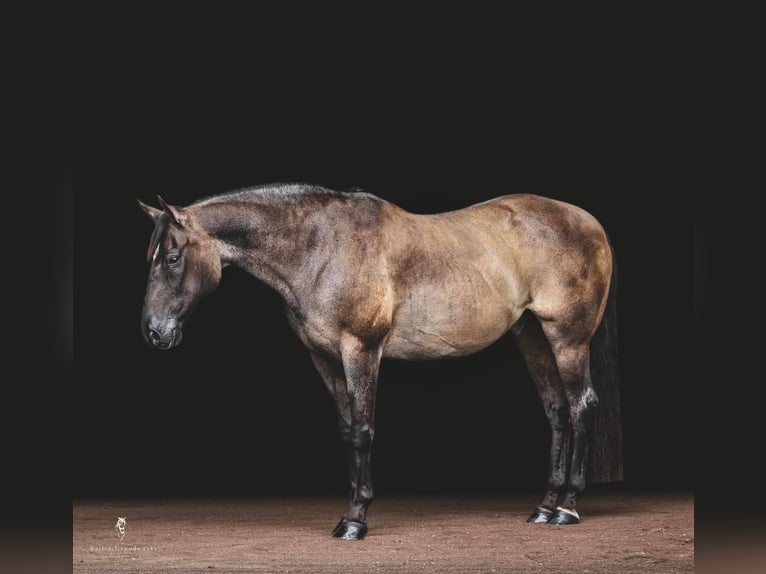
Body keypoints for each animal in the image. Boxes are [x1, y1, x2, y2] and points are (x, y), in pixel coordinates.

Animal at [138, 183, 624, 540]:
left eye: (173, 258)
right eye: (152, 258)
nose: (154, 332)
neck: (319, 248)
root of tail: (589, 221)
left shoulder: (361, 350)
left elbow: (363, 431)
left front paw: (356, 520)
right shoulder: (324, 358)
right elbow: (345, 430)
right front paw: (350, 510)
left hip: (568, 337)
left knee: (581, 407)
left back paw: (567, 508)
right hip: (533, 338)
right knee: (557, 411)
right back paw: (544, 506)